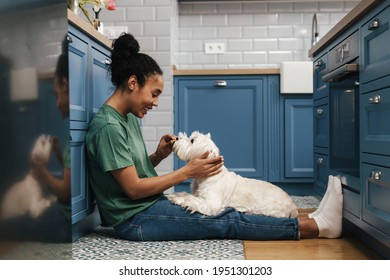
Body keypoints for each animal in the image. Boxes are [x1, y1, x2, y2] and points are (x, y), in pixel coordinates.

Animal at [168, 132, 298, 219]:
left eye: (192, 141)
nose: (177, 138)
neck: (204, 177)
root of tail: (292, 206)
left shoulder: (211, 203)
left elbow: (193, 199)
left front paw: (178, 199)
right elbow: (189, 194)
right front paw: (176, 195)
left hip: (268, 208)